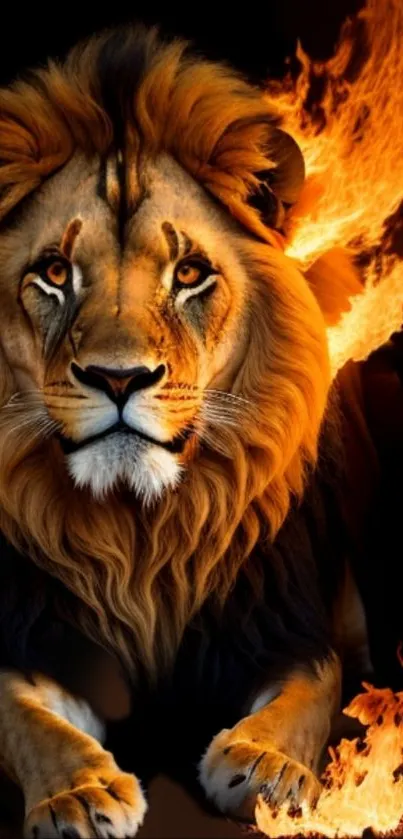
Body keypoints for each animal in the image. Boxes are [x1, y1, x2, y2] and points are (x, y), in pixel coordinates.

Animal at [0, 23, 374, 838]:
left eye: (191, 273)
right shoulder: (35, 637)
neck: (142, 537)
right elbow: (27, 720)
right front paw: (78, 795)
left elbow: (312, 694)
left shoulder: (284, 628)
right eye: (54, 272)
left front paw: (266, 766)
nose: (118, 378)